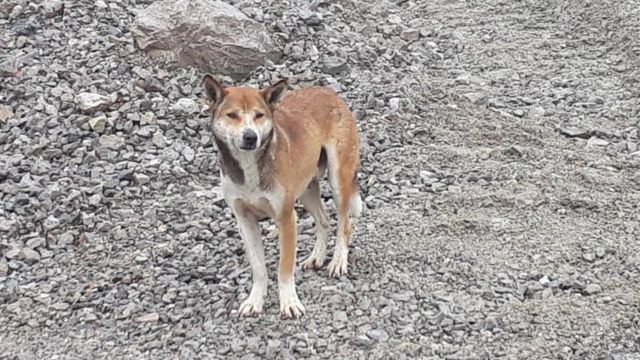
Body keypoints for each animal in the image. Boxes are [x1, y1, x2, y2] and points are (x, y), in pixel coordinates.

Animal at [201, 75, 360, 318]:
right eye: (232, 115)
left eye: (259, 115)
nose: (250, 137)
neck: (250, 168)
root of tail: (328, 92)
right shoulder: (245, 221)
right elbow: (258, 268)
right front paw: (254, 301)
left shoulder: (286, 218)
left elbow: (284, 268)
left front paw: (289, 303)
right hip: (306, 188)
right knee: (324, 220)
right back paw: (317, 257)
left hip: (338, 180)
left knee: (344, 223)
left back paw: (338, 261)